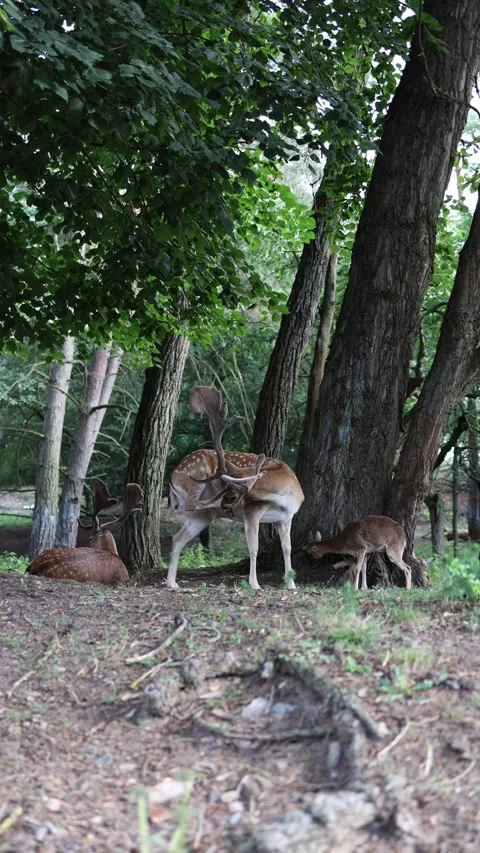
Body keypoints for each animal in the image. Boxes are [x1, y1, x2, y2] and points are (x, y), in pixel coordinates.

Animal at [166, 386, 304, 591]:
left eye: (232, 492)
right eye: (227, 487)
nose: (227, 506)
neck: (286, 497)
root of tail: (172, 476)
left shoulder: (286, 518)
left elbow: (287, 548)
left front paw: (291, 584)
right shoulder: (252, 511)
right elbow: (253, 547)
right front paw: (254, 584)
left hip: (199, 519)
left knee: (177, 538)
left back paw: (172, 583)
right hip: (196, 478)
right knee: (192, 505)